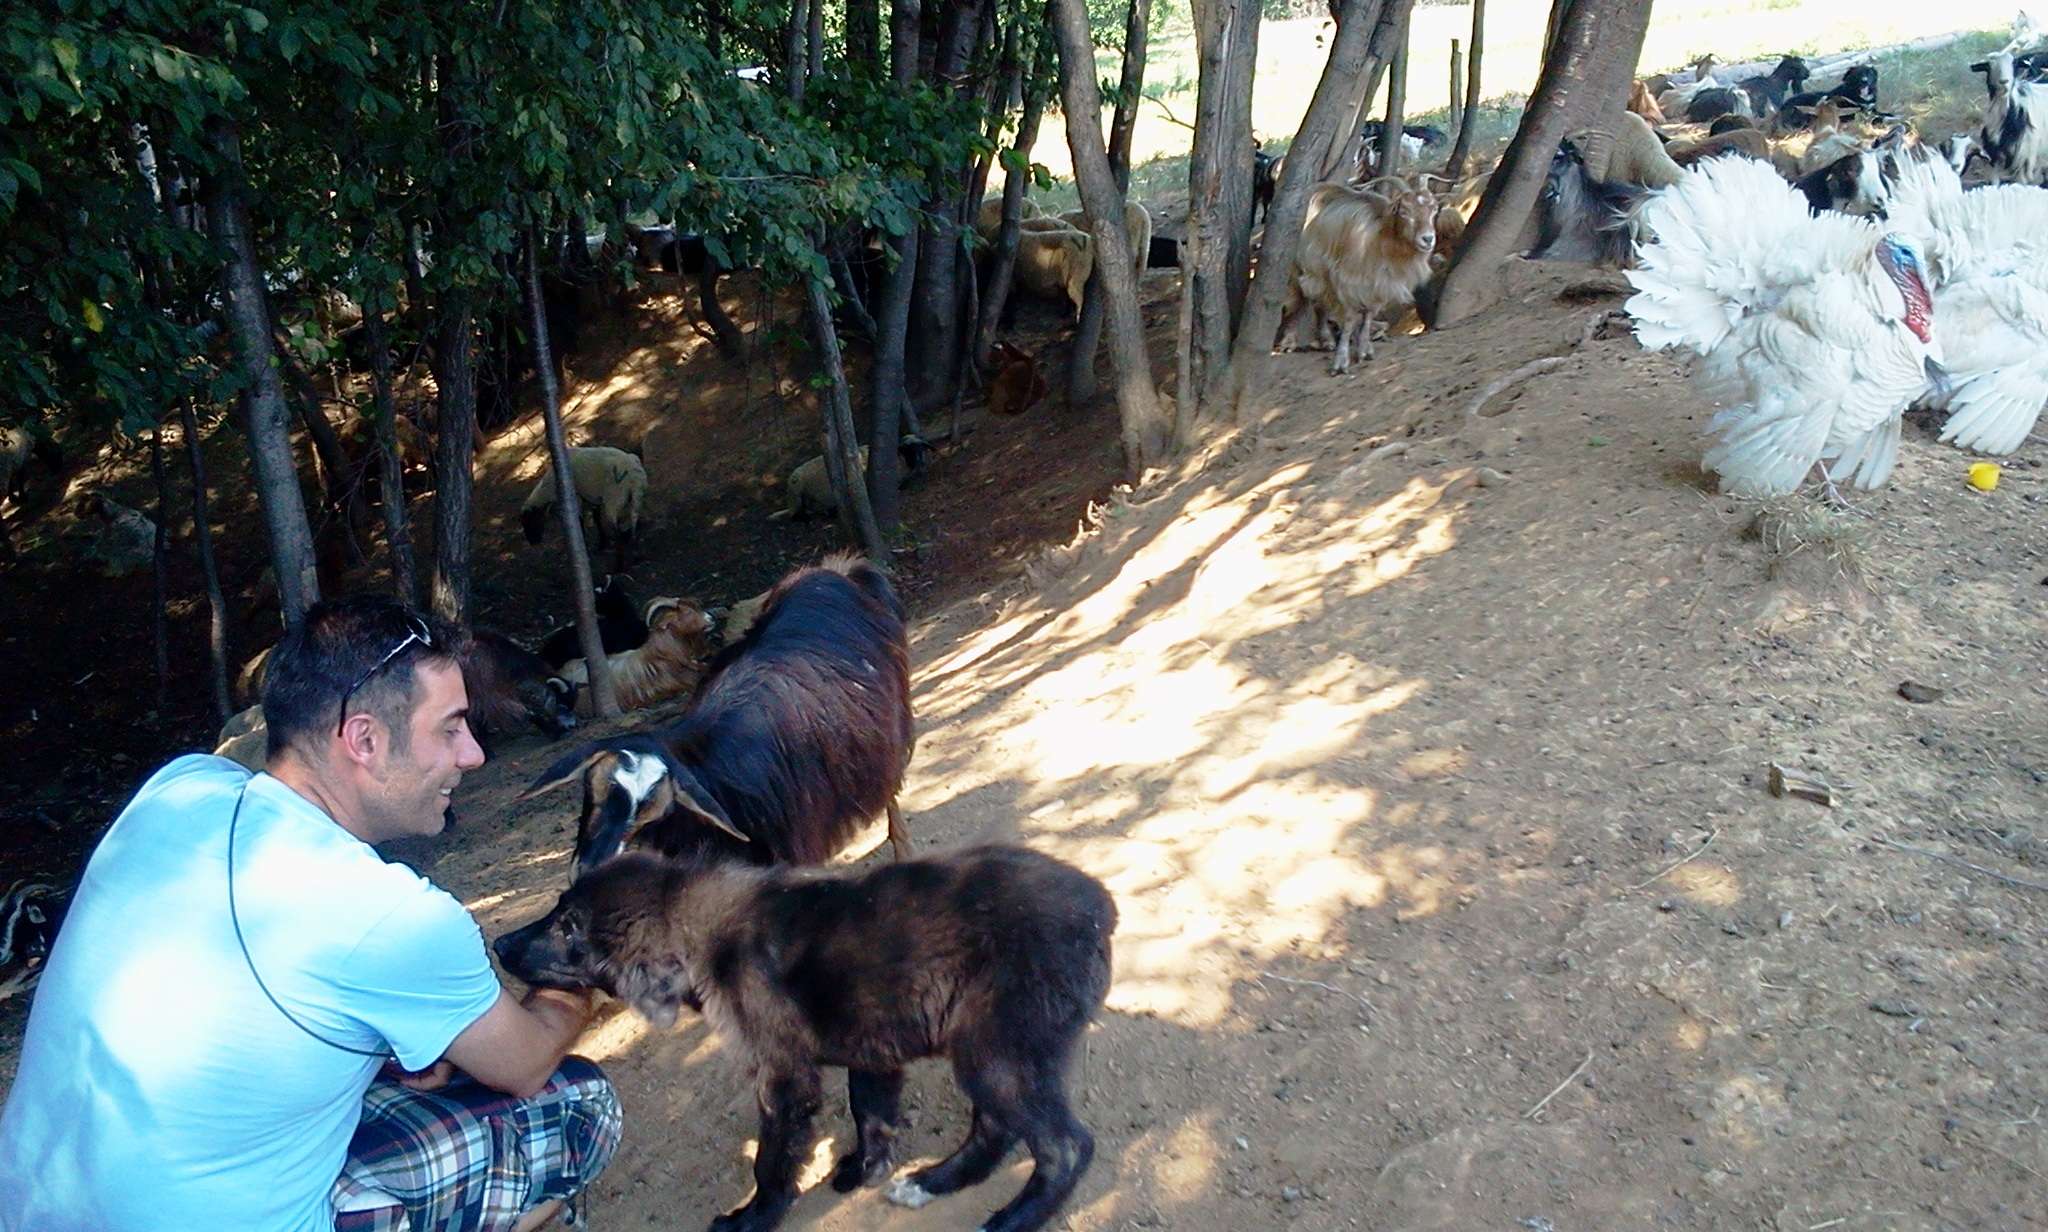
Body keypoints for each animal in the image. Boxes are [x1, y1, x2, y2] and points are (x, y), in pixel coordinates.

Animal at [492, 845, 1113, 1232]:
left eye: (569, 927)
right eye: (557, 912)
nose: (497, 946)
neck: (698, 936)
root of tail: (1099, 908)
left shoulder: (783, 1075)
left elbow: (770, 1163)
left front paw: (753, 1219)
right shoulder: (872, 1048)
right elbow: (870, 1114)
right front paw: (866, 1170)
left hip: (995, 1054)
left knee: (1064, 1146)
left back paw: (1011, 1218)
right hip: (989, 1050)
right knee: (996, 1128)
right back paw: (933, 1183)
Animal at [1274, 176, 1439, 375]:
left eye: (1433, 209)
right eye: (1404, 212)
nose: (1428, 239)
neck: (1380, 237)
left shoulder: (1377, 286)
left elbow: (1368, 316)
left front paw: (1364, 351)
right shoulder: (1349, 280)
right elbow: (1350, 319)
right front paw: (1341, 362)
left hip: (1321, 274)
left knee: (1319, 304)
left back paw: (1327, 341)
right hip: (1299, 267)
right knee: (1297, 300)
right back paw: (1289, 342)